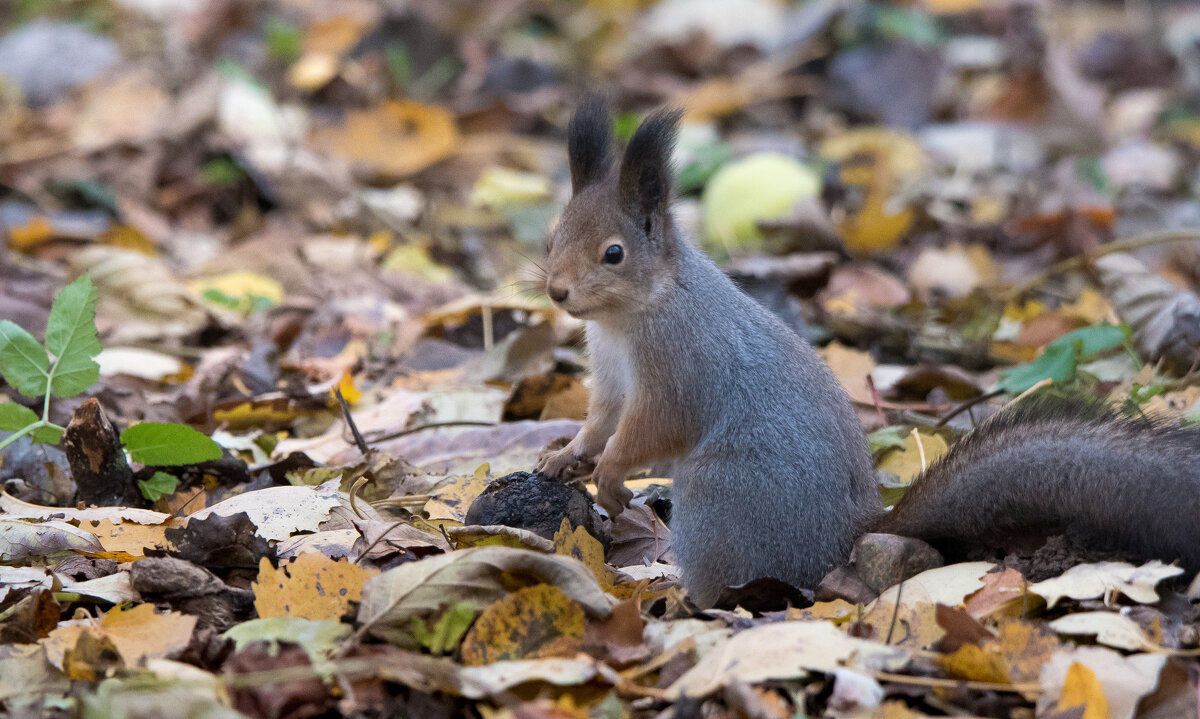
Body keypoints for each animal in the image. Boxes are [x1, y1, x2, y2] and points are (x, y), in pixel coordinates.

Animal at [535, 98, 1200, 609]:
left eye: (614, 254)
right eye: (552, 236)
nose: (557, 292)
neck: (629, 317)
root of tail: (844, 542)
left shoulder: (682, 363)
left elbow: (655, 426)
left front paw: (611, 474)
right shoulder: (610, 373)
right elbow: (602, 419)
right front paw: (565, 456)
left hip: (720, 499)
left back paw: (680, 597)